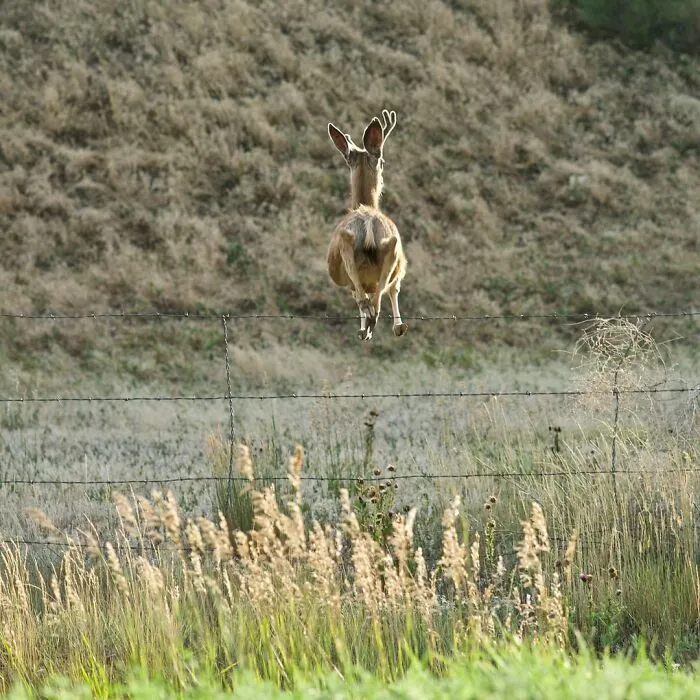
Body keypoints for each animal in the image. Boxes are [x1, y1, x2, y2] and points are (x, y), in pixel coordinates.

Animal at [326, 109, 408, 341]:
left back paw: (366, 326)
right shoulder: (401, 267)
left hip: (351, 247)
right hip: (393, 247)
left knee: (365, 297)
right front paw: (398, 326)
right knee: (376, 298)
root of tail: (368, 221)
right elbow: (394, 289)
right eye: (383, 162)